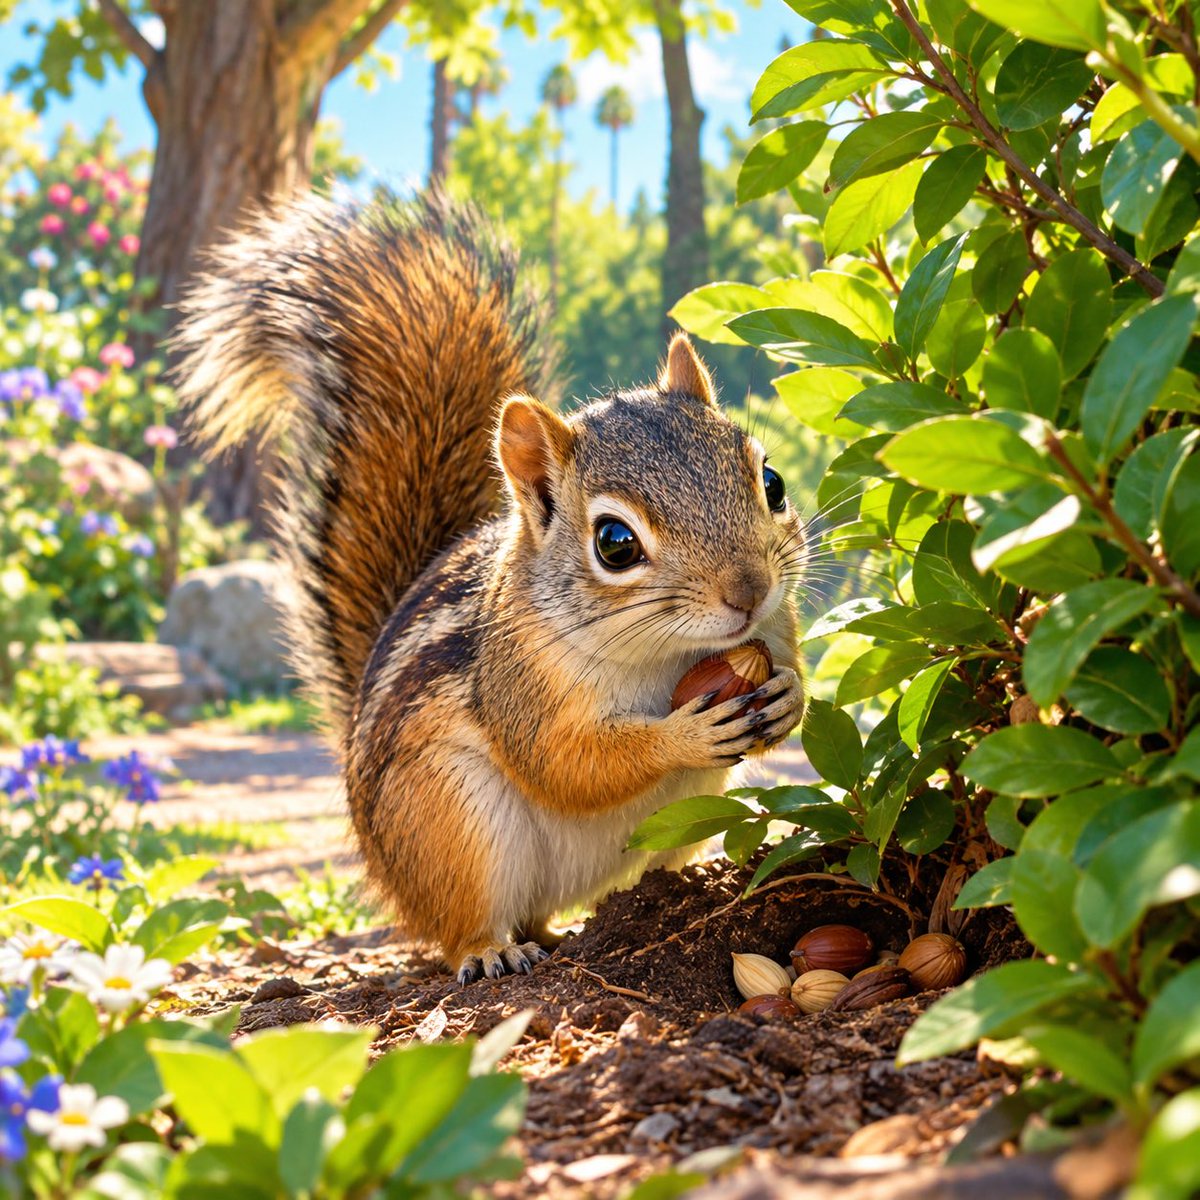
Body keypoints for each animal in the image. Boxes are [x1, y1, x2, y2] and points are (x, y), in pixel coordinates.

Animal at [174, 190, 806, 984]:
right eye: (615, 543)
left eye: (772, 482)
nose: (749, 592)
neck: (665, 657)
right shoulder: (520, 685)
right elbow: (567, 764)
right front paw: (681, 735)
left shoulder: (776, 627)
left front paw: (789, 696)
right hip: (450, 819)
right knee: (460, 924)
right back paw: (492, 950)